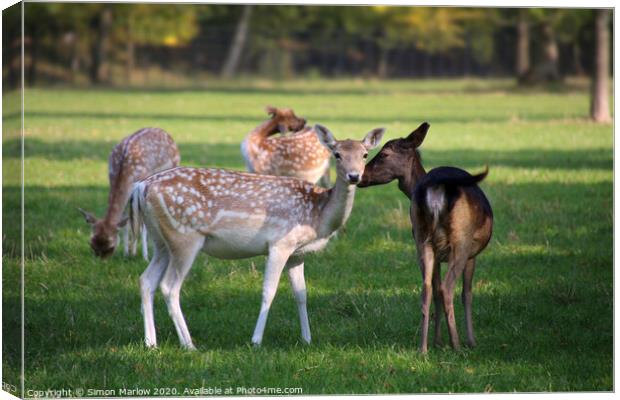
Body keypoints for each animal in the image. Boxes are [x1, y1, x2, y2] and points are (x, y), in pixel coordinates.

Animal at [77, 126, 179, 260]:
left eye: (111, 246)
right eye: (91, 244)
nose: (101, 261)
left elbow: (141, 224)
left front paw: (145, 257)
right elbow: (127, 221)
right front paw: (127, 253)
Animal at [130, 123, 382, 348]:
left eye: (365, 154)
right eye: (337, 154)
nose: (354, 176)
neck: (318, 215)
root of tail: (141, 187)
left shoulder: (297, 253)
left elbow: (301, 293)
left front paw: (307, 339)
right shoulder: (280, 243)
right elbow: (268, 292)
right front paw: (256, 341)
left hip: (161, 240)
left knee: (146, 280)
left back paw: (151, 343)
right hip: (184, 237)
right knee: (169, 287)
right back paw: (189, 344)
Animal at [358, 122, 494, 354]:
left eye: (383, 154)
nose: (358, 176)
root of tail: (436, 186)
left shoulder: (437, 254)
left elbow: (436, 290)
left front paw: (438, 341)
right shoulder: (472, 253)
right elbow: (467, 294)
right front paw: (471, 340)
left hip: (422, 240)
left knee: (427, 289)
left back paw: (423, 349)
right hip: (461, 240)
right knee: (447, 289)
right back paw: (457, 345)